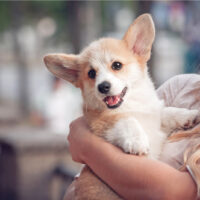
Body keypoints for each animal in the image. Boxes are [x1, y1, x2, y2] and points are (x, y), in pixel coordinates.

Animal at [43, 14, 198, 200]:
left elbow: (166, 112)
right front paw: (137, 141)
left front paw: (189, 115)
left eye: (116, 65)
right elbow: (127, 120)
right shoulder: (103, 124)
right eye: (91, 73)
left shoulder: (155, 119)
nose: (103, 87)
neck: (132, 104)